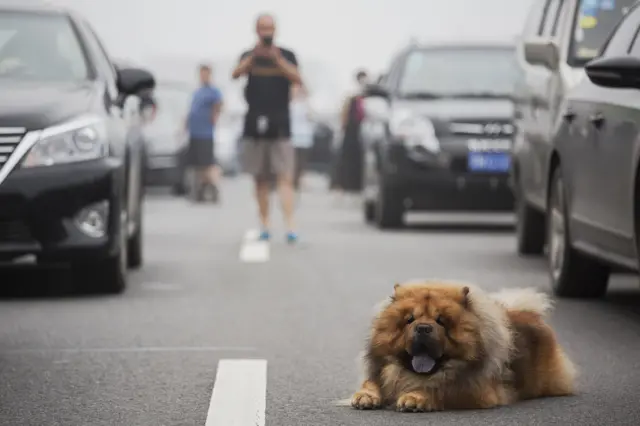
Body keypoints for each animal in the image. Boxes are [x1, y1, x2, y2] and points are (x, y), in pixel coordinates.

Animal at [344, 282, 576, 412]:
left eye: (441, 321)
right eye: (410, 320)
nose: (423, 328)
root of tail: (529, 313)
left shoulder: (475, 391)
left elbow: (440, 390)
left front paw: (415, 397)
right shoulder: (380, 372)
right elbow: (371, 382)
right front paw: (365, 396)